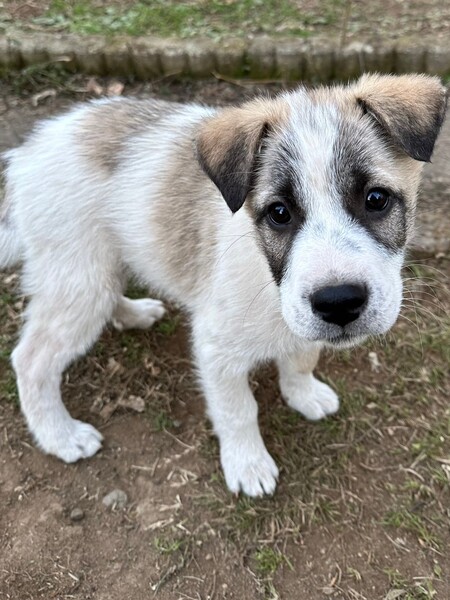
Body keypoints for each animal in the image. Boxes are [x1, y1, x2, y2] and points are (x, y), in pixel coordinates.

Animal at [0, 74, 447, 497]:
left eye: (376, 199)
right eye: (279, 213)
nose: (338, 303)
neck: (267, 279)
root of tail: (27, 153)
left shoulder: (299, 320)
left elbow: (302, 358)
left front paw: (303, 394)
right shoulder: (216, 349)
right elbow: (238, 411)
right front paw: (248, 464)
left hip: (100, 269)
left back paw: (133, 313)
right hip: (79, 278)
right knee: (31, 360)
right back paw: (61, 436)